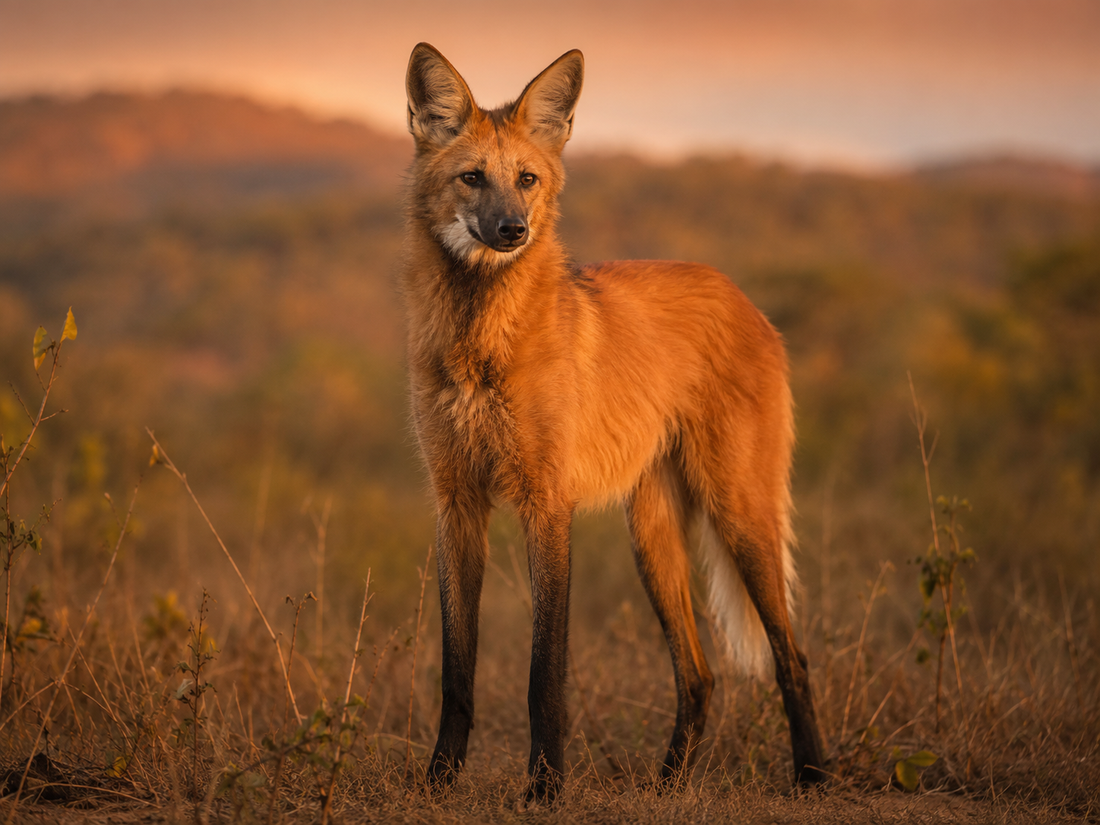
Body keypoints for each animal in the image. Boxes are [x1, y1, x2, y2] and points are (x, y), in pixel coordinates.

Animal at [401, 42, 826, 801]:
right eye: (472, 178)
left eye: (527, 180)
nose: (512, 231)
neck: (481, 343)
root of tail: (741, 295)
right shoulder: (457, 503)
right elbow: (456, 671)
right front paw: (440, 780)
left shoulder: (546, 503)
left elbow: (544, 675)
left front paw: (545, 787)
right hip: (651, 538)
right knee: (699, 674)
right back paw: (669, 783)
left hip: (738, 512)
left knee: (791, 655)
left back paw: (812, 773)